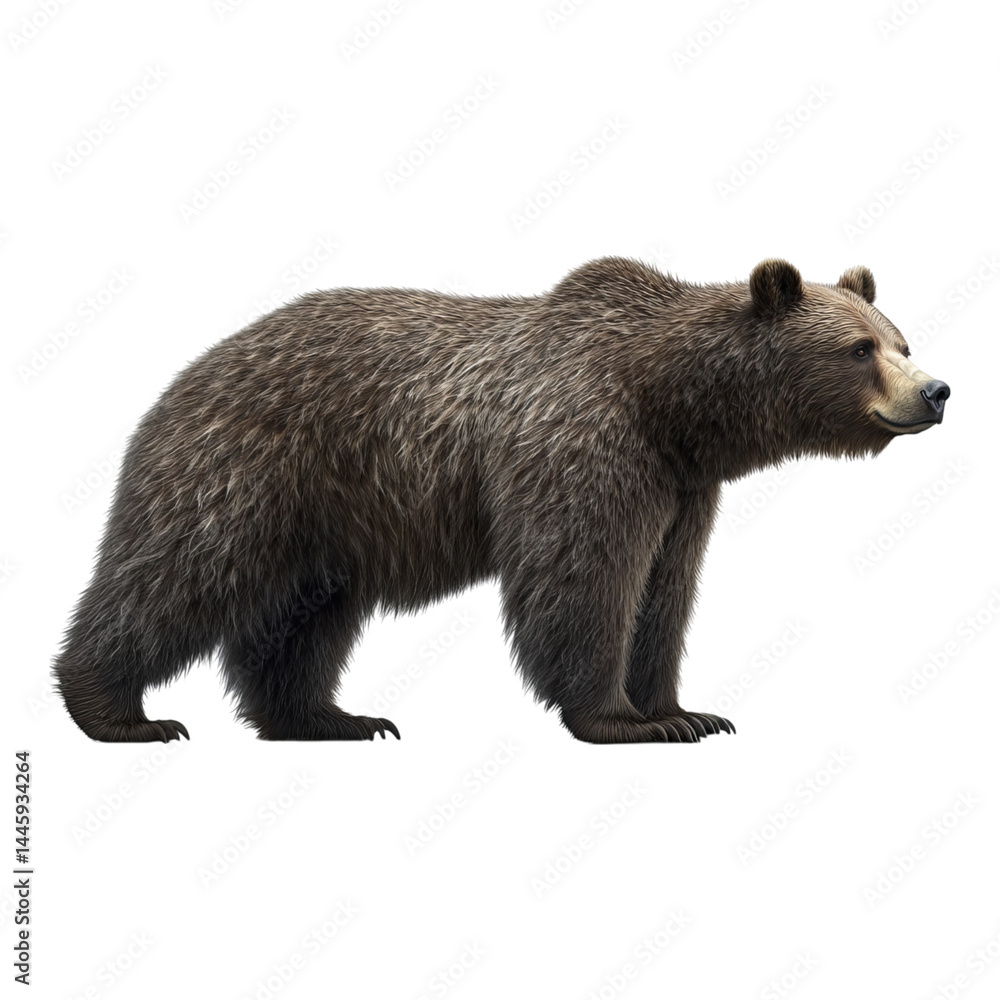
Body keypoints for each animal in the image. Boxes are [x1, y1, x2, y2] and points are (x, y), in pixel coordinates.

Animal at [53, 257, 950, 743]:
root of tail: (188, 371)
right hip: (249, 472)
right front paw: (624, 717)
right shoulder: (584, 446)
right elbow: (583, 581)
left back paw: (329, 717)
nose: (936, 390)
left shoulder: (681, 490)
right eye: (858, 348)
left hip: (330, 522)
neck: (670, 405)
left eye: (900, 338)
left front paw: (684, 709)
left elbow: (664, 593)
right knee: (176, 575)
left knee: (303, 617)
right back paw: (119, 711)